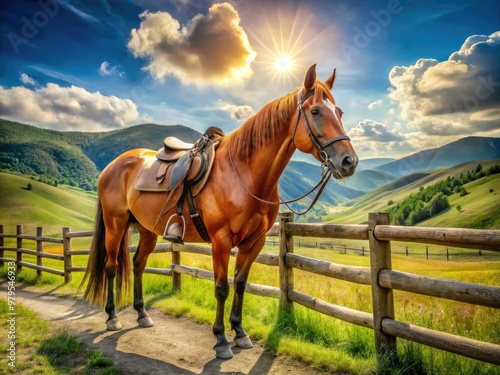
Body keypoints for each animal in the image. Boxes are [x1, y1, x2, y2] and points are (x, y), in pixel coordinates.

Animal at [80, 64, 358, 362]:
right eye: (315, 111)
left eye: (339, 112)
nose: (349, 161)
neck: (244, 174)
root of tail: (113, 165)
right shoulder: (221, 242)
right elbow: (222, 287)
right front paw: (221, 339)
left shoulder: (254, 242)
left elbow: (240, 283)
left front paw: (240, 333)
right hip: (115, 225)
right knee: (111, 266)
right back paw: (111, 317)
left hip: (146, 230)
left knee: (138, 264)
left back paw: (142, 314)